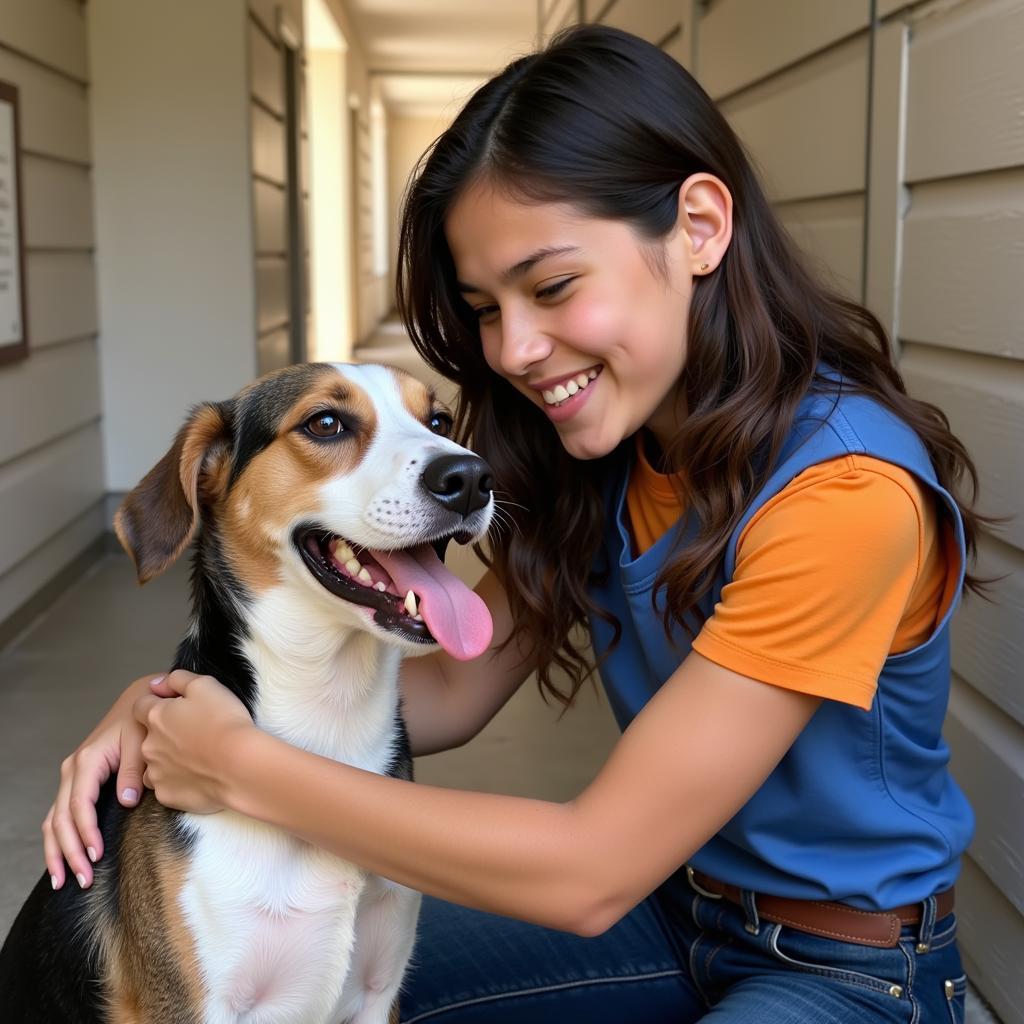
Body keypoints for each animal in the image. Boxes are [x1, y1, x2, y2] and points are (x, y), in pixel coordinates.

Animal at [0, 364, 495, 1024]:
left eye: (438, 420)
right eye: (326, 423)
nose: (470, 479)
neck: (328, 719)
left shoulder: (378, 993)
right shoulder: (196, 1004)